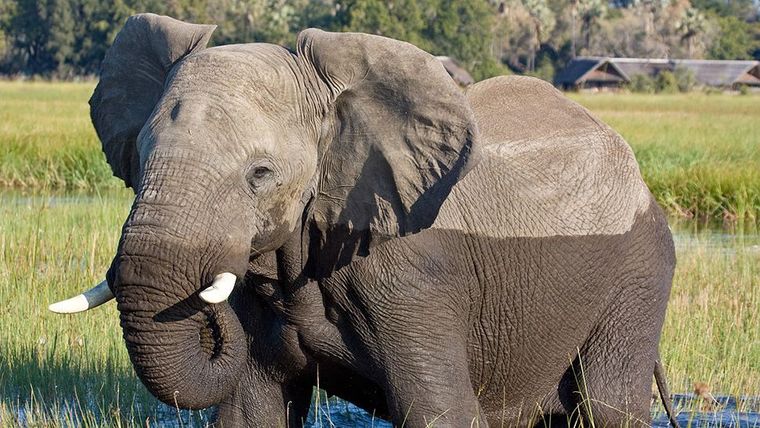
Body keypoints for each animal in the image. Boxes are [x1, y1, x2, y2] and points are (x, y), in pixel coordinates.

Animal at [52, 13, 684, 428]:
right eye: (139, 159)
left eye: (260, 174)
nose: (207, 307)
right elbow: (251, 408)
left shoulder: (413, 278)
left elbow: (438, 410)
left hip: (639, 271)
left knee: (608, 404)